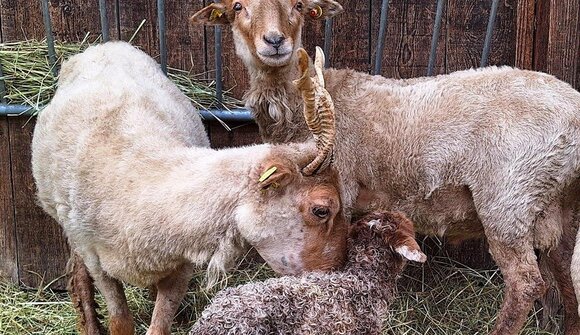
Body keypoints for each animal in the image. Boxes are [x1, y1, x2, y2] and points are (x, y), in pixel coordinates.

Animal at [31, 41, 348, 335]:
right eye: (322, 209)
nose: (334, 273)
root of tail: (104, 46)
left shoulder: (182, 263)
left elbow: (159, 326)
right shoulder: (98, 261)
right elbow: (120, 321)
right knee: (77, 270)